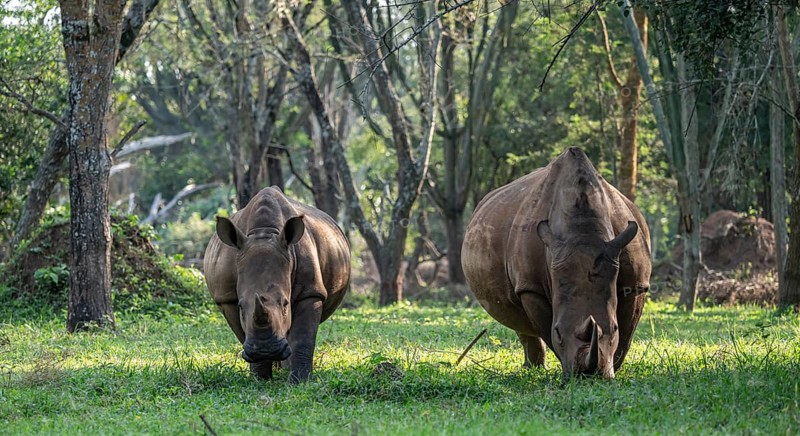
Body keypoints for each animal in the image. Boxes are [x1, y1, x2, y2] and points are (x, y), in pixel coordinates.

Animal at [203, 186, 350, 382]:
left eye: (285, 304)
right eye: (241, 306)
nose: (265, 349)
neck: (263, 233)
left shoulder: (310, 291)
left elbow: (304, 338)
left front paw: (300, 381)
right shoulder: (227, 298)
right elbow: (243, 334)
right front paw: (260, 378)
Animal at [462, 147, 651, 380]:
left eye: (614, 329)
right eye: (558, 332)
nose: (588, 375)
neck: (583, 229)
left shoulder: (636, 283)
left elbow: (627, 331)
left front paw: (613, 367)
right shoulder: (530, 286)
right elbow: (545, 326)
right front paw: (567, 369)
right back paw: (532, 368)